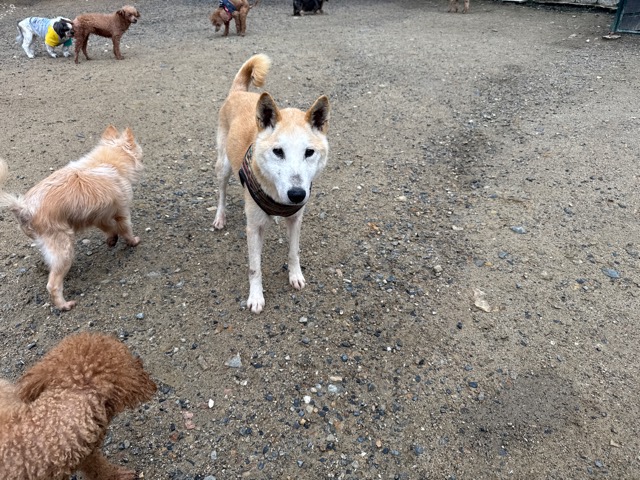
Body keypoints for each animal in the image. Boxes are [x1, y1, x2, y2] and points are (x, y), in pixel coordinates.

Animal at [0, 126, 144, 311]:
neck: (110, 160)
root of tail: (24, 208)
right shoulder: (122, 212)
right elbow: (126, 229)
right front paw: (133, 241)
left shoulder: (99, 217)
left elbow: (109, 229)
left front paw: (112, 240)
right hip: (64, 248)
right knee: (53, 285)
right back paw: (64, 305)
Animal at [213, 54, 330, 313]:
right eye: (278, 151)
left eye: (309, 152)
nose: (297, 194)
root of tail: (239, 92)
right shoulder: (254, 228)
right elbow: (254, 268)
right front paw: (256, 297)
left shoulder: (296, 219)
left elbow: (294, 252)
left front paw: (295, 276)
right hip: (223, 166)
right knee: (222, 192)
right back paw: (220, 217)